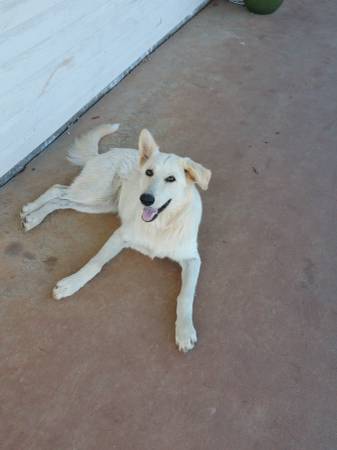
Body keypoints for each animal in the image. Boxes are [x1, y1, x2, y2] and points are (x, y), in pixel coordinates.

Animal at [21, 124, 210, 352]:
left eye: (171, 179)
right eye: (149, 172)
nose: (145, 199)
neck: (160, 225)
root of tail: (103, 154)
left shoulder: (192, 259)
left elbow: (185, 296)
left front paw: (184, 331)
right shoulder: (120, 235)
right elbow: (95, 263)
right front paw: (71, 284)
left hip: (99, 204)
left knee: (61, 199)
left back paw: (33, 215)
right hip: (93, 193)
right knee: (58, 190)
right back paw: (32, 211)